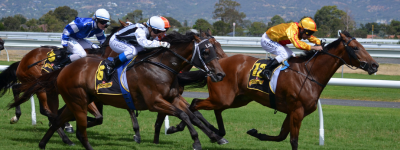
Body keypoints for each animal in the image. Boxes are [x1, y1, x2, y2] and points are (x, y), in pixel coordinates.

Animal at [12, 31, 228, 149]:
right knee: (47, 110)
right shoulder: (154, 102)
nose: (220, 74)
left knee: (56, 116)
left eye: (215, 48)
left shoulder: (172, 97)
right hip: (67, 97)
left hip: (73, 99)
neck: (161, 66)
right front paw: (197, 141)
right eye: (206, 51)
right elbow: (183, 114)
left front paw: (215, 137)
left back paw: (53, 140)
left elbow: (192, 115)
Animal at [166, 31, 378, 149]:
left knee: (213, 109)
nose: (374, 65)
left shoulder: (293, 111)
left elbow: (281, 136)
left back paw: (216, 133)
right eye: (356, 48)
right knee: (195, 104)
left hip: (237, 99)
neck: (308, 74)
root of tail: (215, 66)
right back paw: (180, 128)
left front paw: (256, 133)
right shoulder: (297, 110)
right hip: (223, 97)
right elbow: (293, 140)